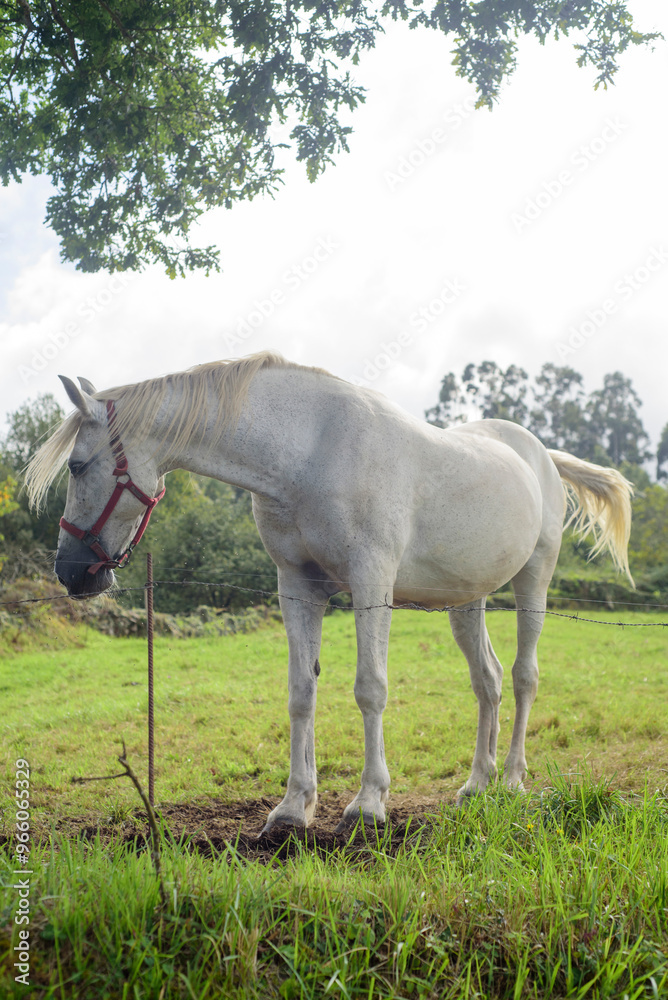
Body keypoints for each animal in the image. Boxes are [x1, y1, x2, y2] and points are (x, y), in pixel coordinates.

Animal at [25, 351, 633, 832]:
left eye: (77, 466)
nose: (71, 571)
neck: (309, 453)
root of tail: (542, 455)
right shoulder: (296, 585)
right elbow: (302, 692)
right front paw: (293, 808)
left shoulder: (371, 581)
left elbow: (370, 689)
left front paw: (368, 804)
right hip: (467, 599)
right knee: (488, 680)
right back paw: (475, 784)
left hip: (535, 580)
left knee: (525, 676)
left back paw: (510, 780)